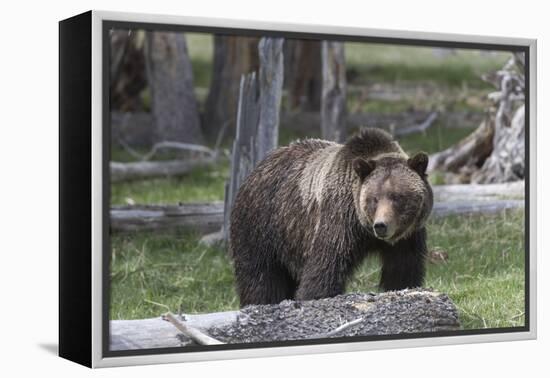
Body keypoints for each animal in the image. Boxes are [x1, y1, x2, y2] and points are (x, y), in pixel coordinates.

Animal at [230, 128, 436, 306]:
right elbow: (325, 268)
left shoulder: (408, 238)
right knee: (260, 276)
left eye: (397, 197)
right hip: (262, 225)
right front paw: (315, 295)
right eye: (374, 199)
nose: (381, 225)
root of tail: (256, 169)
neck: (364, 230)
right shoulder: (339, 220)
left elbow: (403, 271)